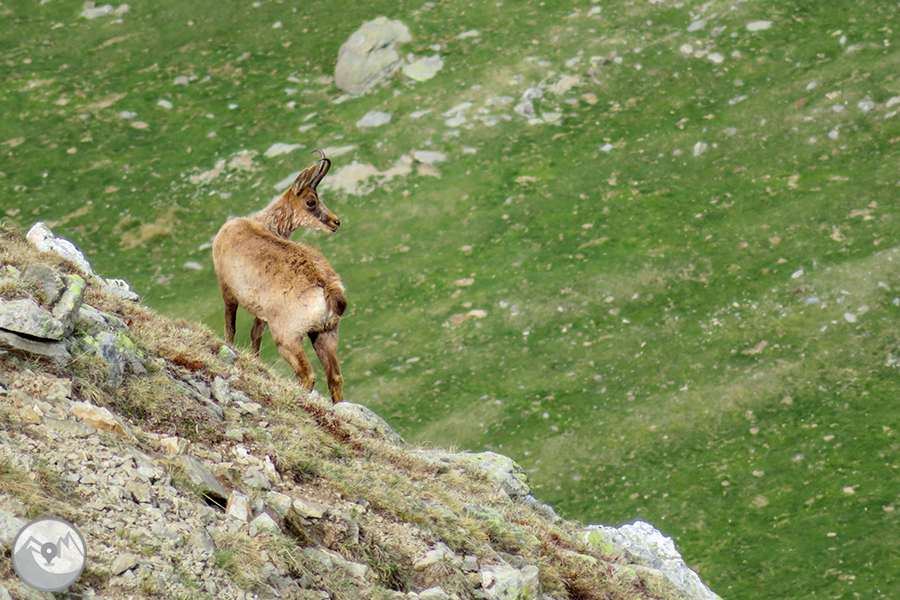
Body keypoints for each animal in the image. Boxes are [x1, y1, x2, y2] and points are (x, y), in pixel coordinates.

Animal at [212, 150, 346, 402]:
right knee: (335, 377)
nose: (336, 222)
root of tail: (328, 291)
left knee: (307, 374)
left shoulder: (227, 287)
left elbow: (230, 326)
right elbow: (255, 334)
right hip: (326, 332)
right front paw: (255, 362)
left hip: (288, 336)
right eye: (311, 201)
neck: (262, 222)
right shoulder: (262, 312)